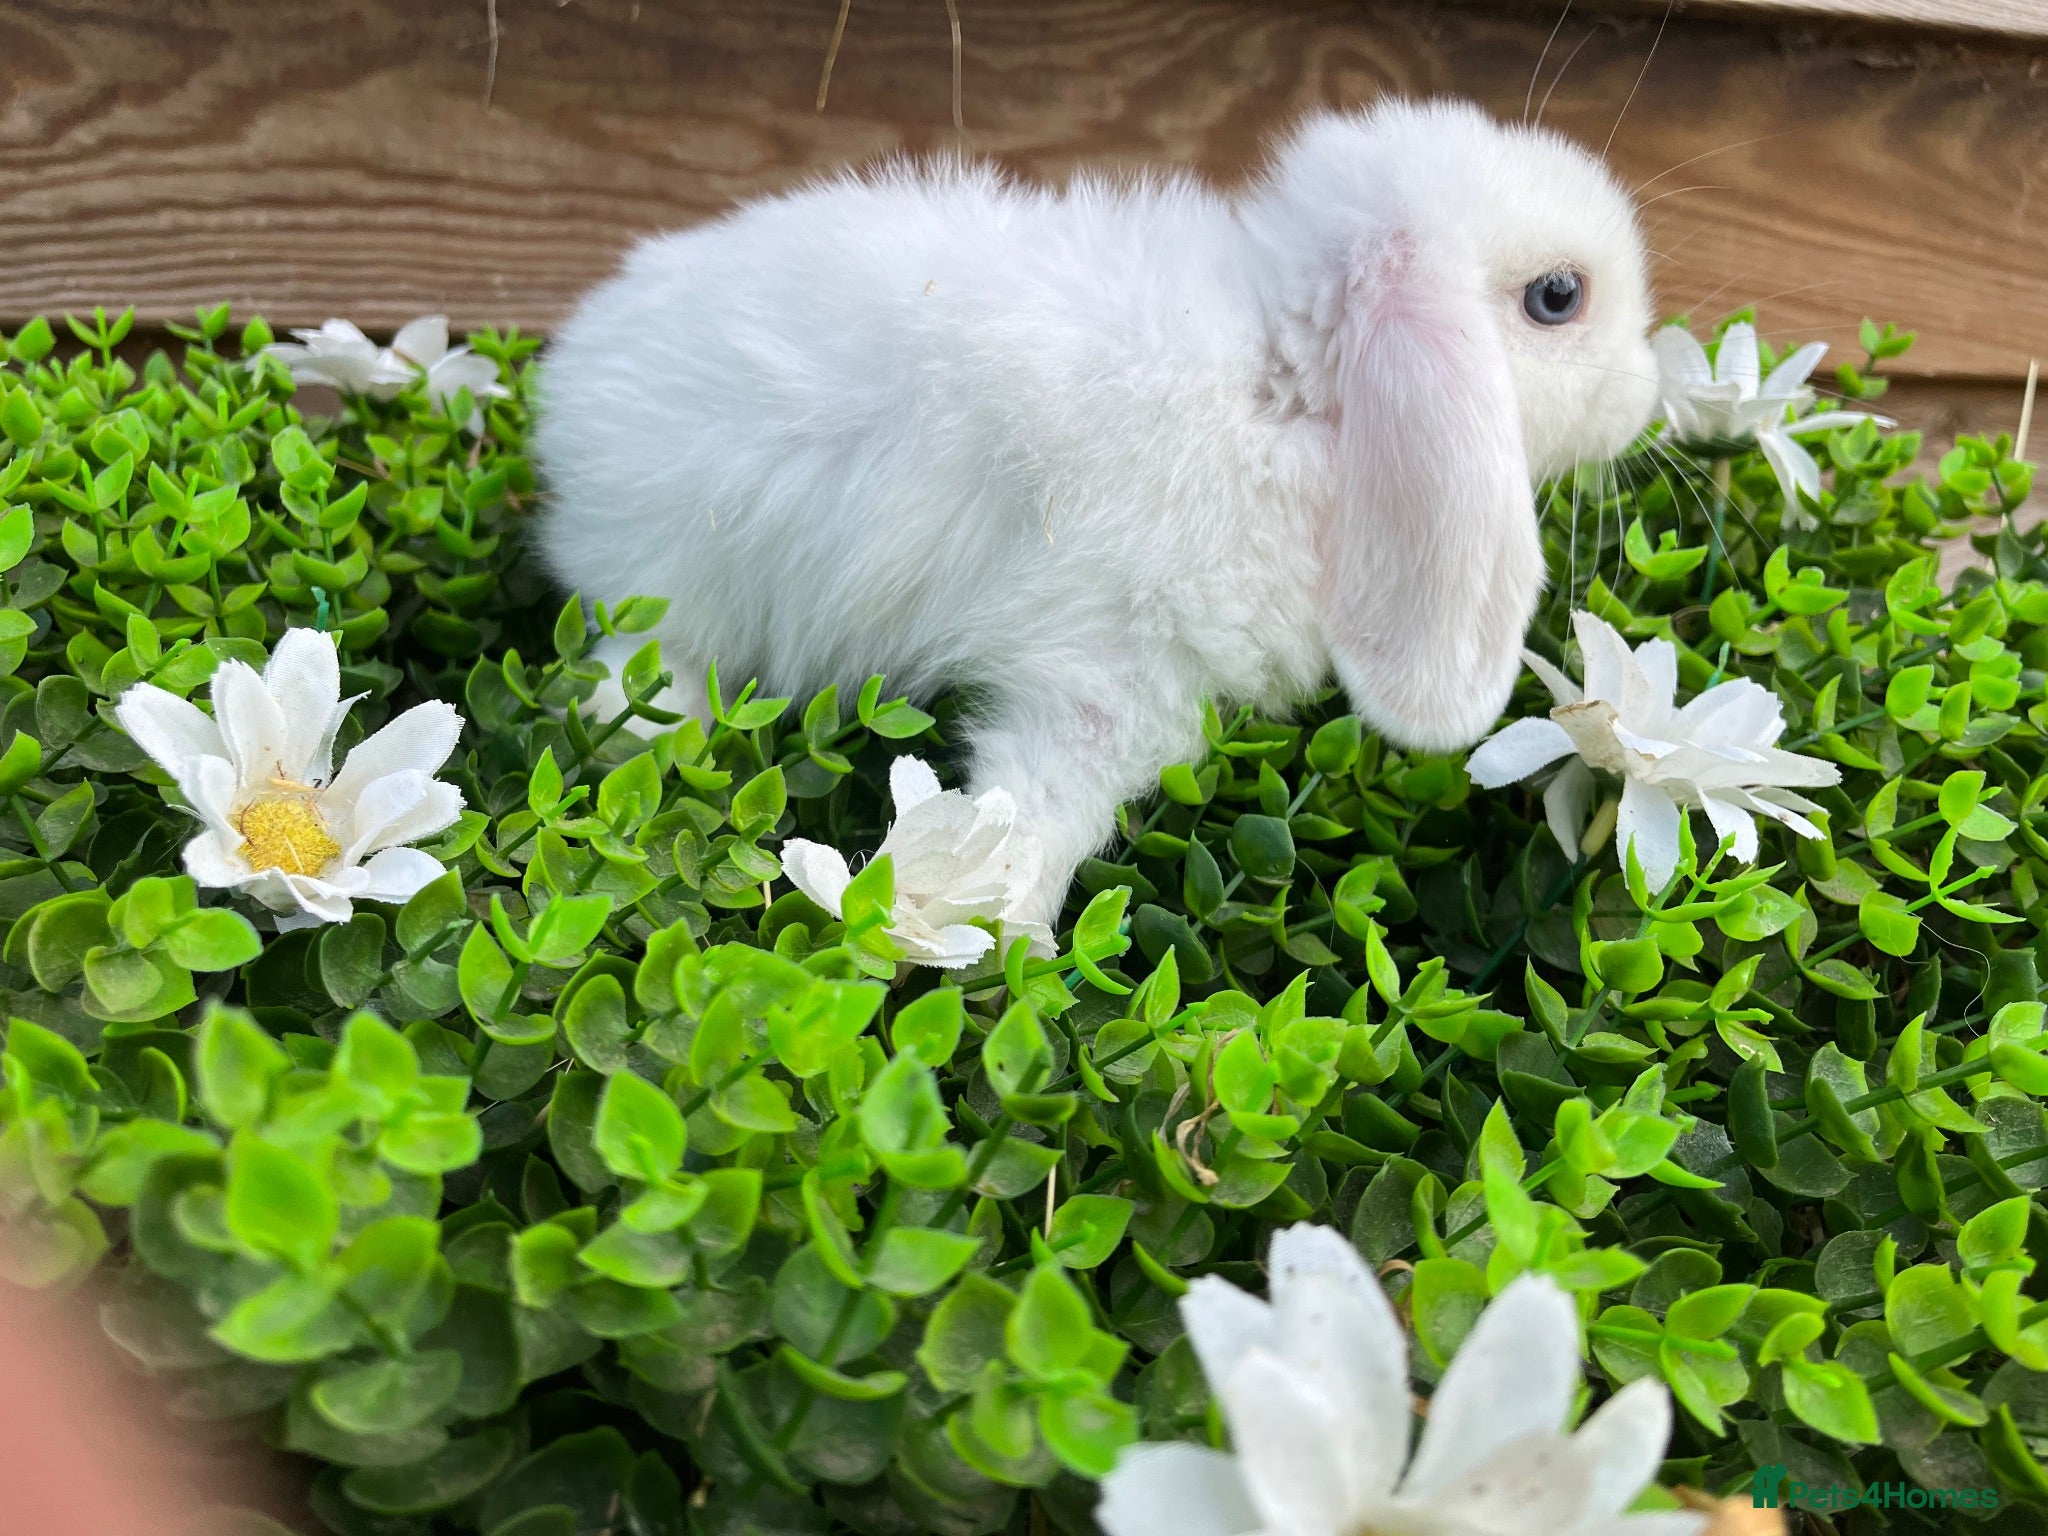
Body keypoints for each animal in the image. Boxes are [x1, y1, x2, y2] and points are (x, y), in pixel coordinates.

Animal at [533, 97, 1660, 931]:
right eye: (1558, 298)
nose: (1649, 395)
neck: (1288, 388)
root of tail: (571, 384)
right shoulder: (1117, 669)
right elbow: (1036, 810)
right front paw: (993, 940)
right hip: (672, 588)